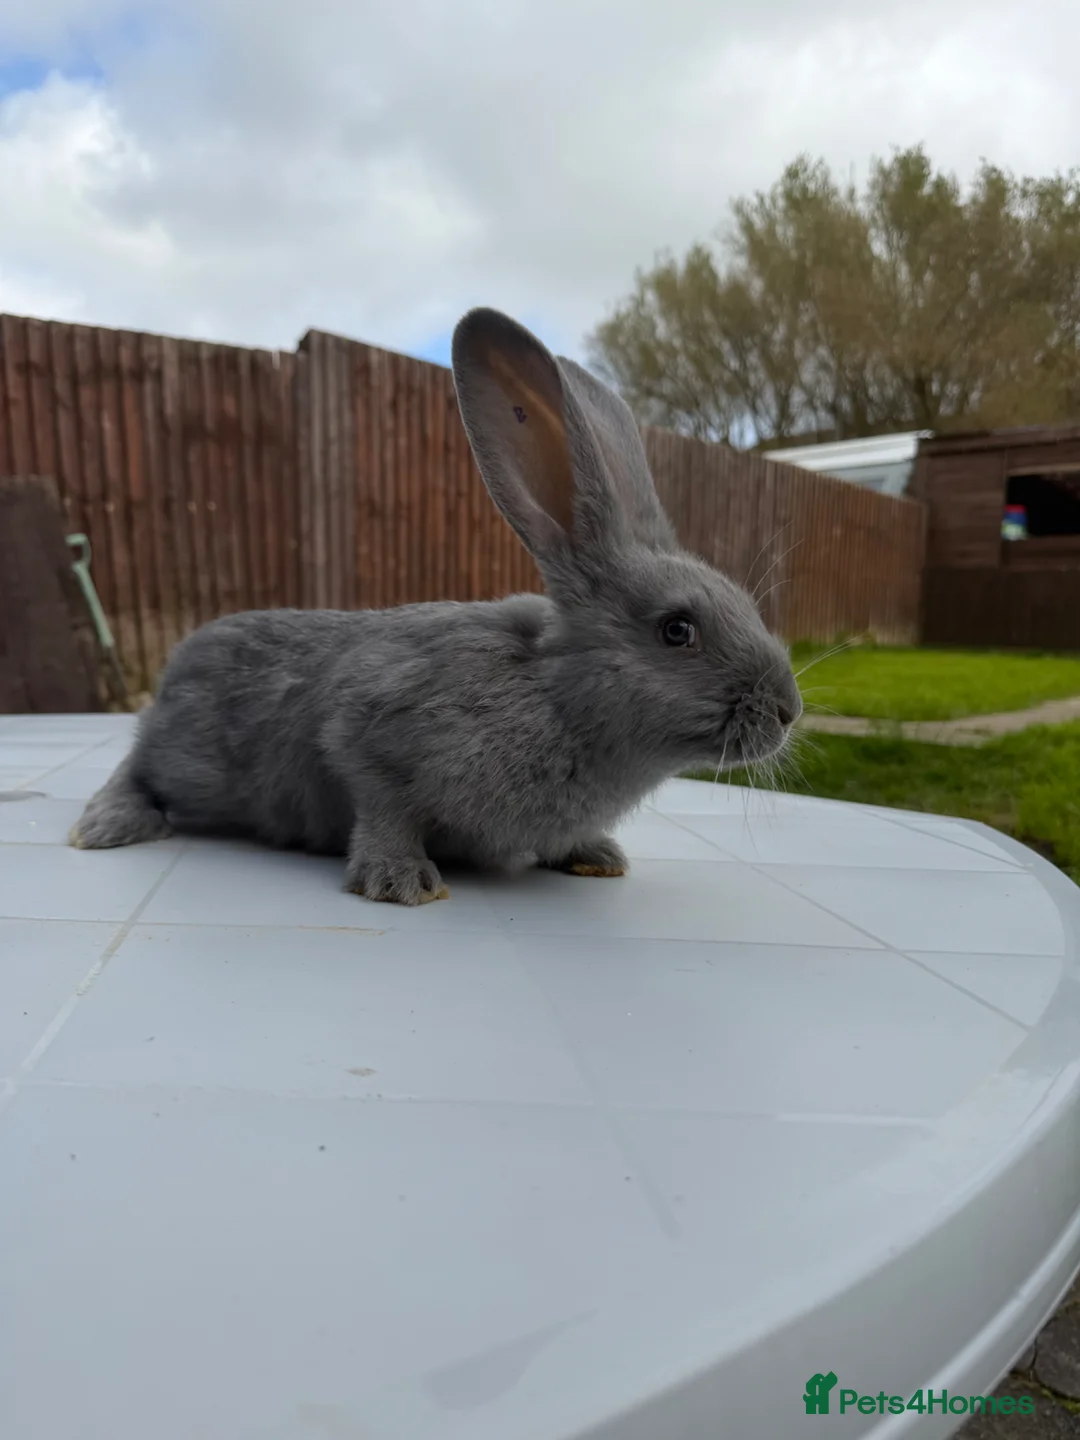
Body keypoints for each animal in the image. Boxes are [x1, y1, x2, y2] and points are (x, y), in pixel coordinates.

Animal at [69, 306, 802, 905]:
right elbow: (382, 807)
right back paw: (106, 825)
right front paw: (402, 884)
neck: (555, 695)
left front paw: (597, 857)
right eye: (677, 630)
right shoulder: (368, 729)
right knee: (134, 769)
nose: (788, 711)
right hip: (184, 757)